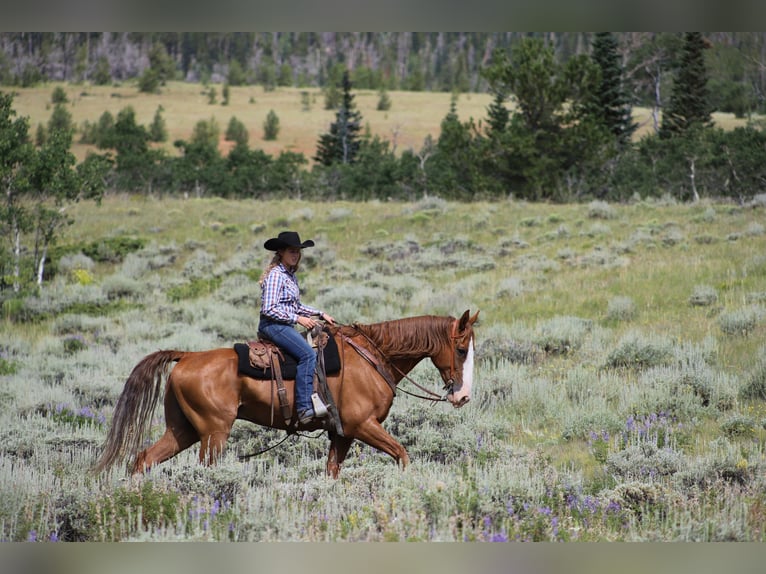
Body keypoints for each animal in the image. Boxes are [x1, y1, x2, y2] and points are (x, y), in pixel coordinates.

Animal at [96, 312, 480, 480]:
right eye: (461, 349)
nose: (463, 397)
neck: (372, 356)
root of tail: (187, 356)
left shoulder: (341, 433)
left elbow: (331, 471)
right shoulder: (362, 425)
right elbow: (402, 454)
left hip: (183, 430)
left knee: (143, 459)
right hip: (213, 433)